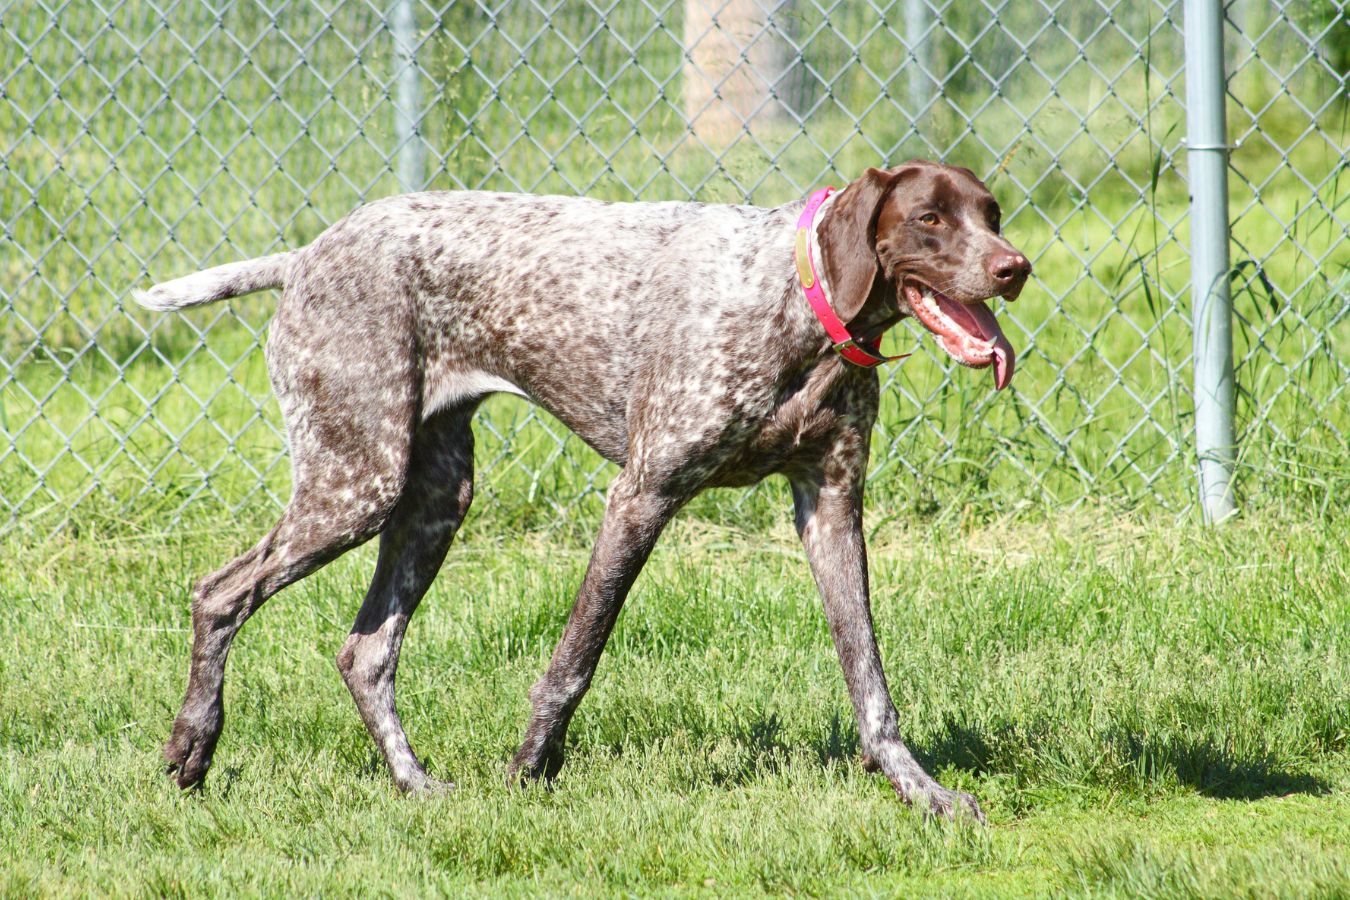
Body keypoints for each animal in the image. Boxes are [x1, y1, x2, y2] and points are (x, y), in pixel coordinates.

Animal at [131, 158, 1026, 820]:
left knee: (366, 653)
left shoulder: (832, 505)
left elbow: (869, 680)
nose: (1014, 268)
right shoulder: (641, 496)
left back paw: (415, 785)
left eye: (992, 213)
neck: (792, 299)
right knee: (219, 594)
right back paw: (193, 746)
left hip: (432, 502)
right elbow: (575, 657)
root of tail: (305, 256)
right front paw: (530, 771)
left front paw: (921, 791)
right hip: (357, 485)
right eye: (929, 219)